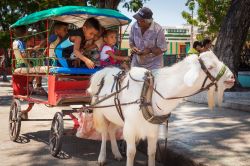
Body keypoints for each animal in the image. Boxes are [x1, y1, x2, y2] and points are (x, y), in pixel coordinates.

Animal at [87, 51, 234, 165]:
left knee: (111, 130)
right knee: (104, 133)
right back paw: (102, 158)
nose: (232, 77)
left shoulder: (152, 129)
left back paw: (117, 154)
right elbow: (131, 152)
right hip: (100, 113)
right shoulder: (130, 128)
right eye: (210, 66)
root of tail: (104, 72)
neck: (149, 93)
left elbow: (152, 153)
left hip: (116, 116)